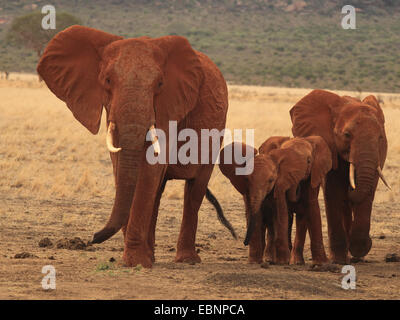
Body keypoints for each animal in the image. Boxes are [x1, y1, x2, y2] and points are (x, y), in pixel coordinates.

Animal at [39, 26, 231, 268]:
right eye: (107, 80)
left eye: (160, 84)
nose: (92, 238)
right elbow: (121, 164)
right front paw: (137, 260)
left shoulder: (168, 108)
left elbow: (150, 168)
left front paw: (135, 262)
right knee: (158, 193)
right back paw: (153, 256)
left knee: (195, 189)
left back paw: (187, 260)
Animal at [290, 89, 390, 262]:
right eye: (347, 135)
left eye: (380, 137)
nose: (370, 241)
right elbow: (333, 191)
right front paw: (339, 259)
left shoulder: (379, 154)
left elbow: (369, 190)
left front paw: (358, 249)